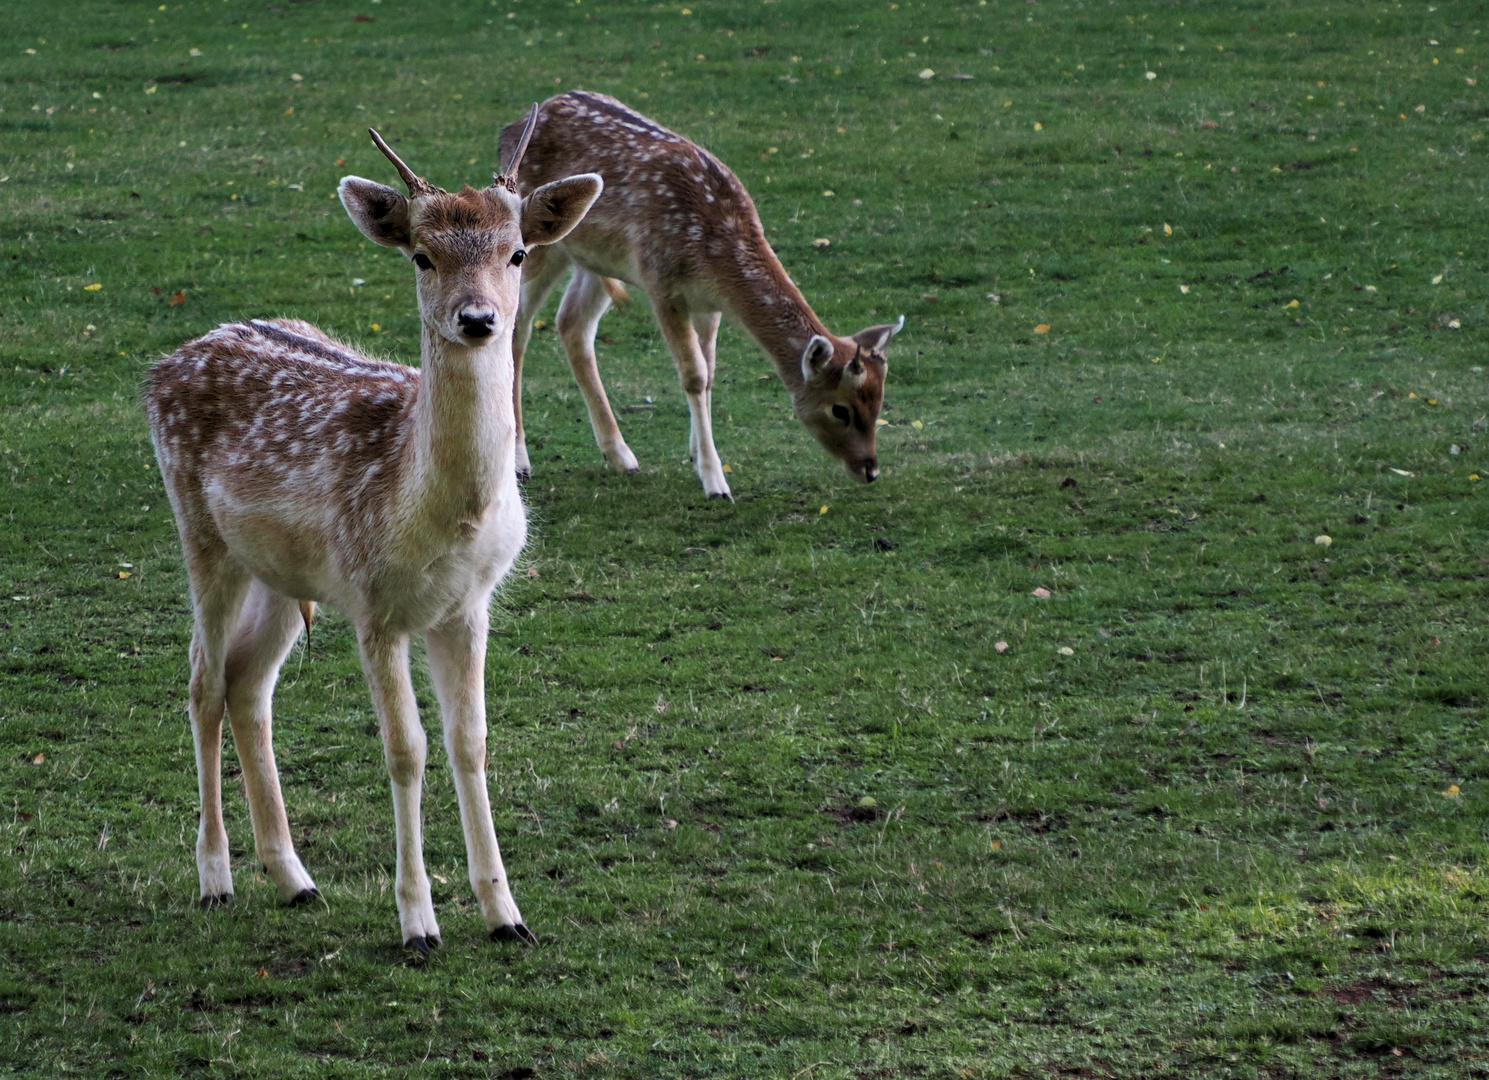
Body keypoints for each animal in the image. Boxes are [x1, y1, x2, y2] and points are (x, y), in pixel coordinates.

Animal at [143, 109, 598, 947]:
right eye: (421, 255)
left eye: (517, 251)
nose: (477, 319)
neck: (440, 516)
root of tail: (166, 362)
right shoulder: (373, 604)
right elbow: (405, 749)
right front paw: (418, 922)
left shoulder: (469, 605)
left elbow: (470, 743)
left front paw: (505, 914)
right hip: (200, 532)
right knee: (201, 682)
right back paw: (216, 877)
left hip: (282, 573)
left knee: (247, 682)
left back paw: (294, 878)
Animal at [500, 90, 899, 500]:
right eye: (840, 409)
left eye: (879, 401)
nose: (870, 470)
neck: (713, 254)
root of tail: (511, 128)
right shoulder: (662, 284)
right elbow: (693, 374)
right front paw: (715, 481)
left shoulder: (709, 304)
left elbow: (709, 370)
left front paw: (696, 453)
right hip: (538, 247)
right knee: (518, 328)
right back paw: (520, 460)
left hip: (597, 259)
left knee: (572, 325)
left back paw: (620, 454)